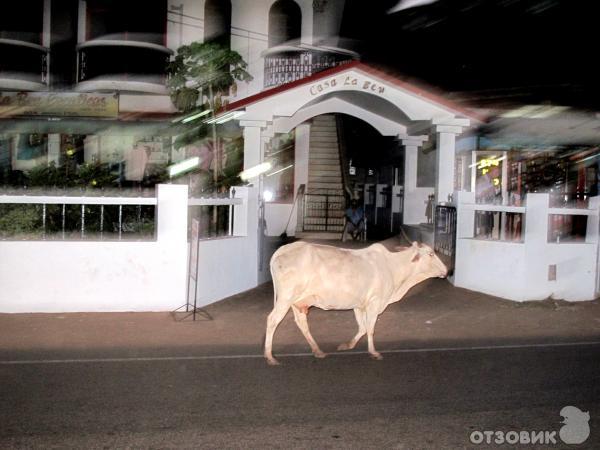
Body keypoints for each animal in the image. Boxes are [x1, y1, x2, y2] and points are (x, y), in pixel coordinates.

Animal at [264, 241, 448, 364]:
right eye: (431, 254)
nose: (446, 270)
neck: (393, 267)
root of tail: (283, 249)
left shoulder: (359, 305)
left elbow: (363, 328)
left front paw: (347, 345)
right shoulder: (374, 303)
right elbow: (371, 329)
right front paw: (374, 352)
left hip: (297, 302)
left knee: (302, 323)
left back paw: (317, 350)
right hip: (285, 298)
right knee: (272, 320)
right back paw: (270, 356)